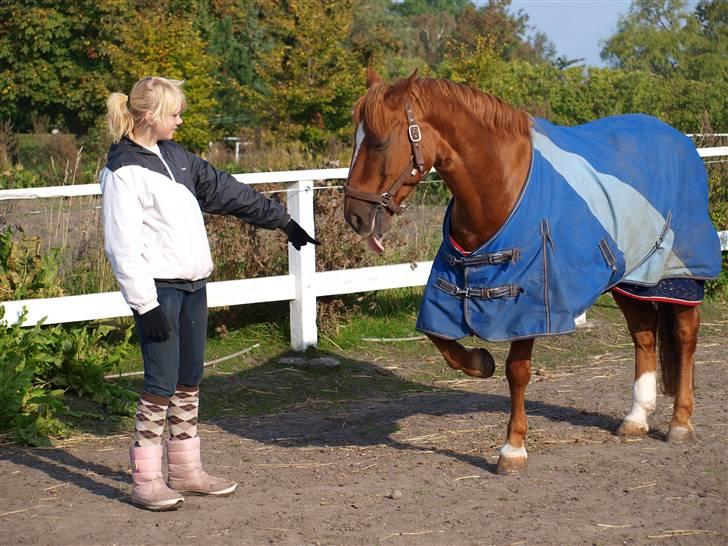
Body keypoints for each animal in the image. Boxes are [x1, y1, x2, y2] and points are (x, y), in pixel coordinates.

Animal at [344, 72, 720, 472]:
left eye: (380, 142)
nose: (354, 215)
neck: (498, 190)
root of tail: (680, 140)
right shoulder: (448, 291)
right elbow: (443, 343)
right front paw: (480, 362)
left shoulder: (528, 302)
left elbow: (517, 371)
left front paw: (513, 448)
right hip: (629, 279)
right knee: (645, 334)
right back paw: (636, 417)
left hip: (676, 276)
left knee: (685, 336)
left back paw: (680, 423)